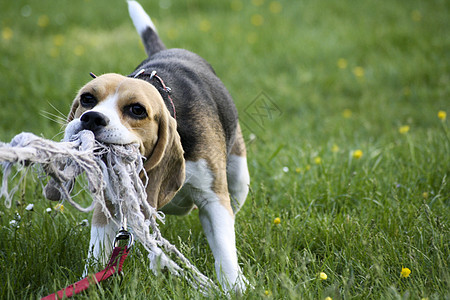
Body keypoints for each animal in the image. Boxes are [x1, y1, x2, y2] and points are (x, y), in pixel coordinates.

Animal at [57, 0, 250, 292]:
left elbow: (225, 248)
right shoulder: (109, 202)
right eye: (87, 98)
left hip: (239, 176)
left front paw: (234, 287)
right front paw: (90, 283)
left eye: (137, 110)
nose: (90, 118)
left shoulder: (213, 198)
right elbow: (98, 248)